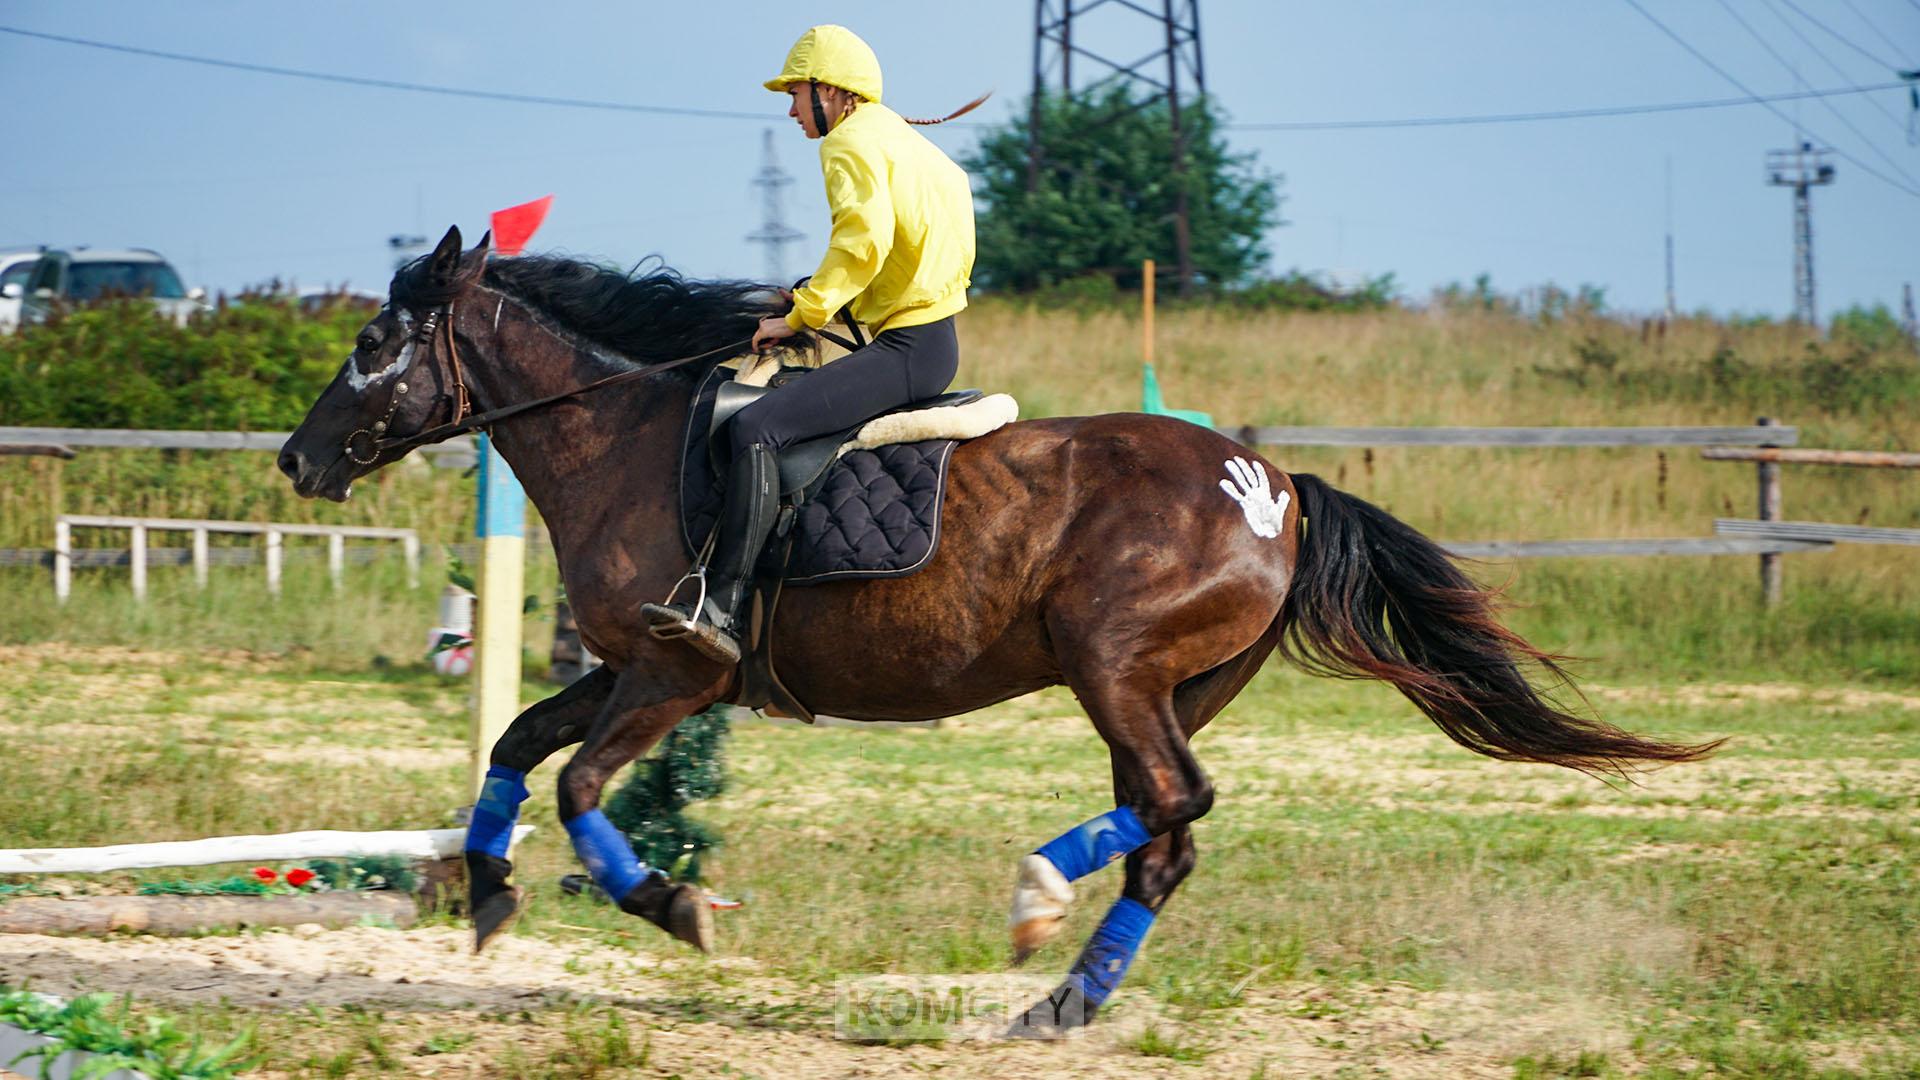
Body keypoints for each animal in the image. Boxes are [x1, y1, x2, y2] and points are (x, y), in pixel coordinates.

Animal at [278, 228, 1720, 1022]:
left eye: (372, 341)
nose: (297, 459)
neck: (628, 439)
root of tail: (1272, 484)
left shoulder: (678, 671)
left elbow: (579, 786)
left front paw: (675, 905)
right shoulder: (633, 668)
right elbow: (517, 743)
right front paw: (487, 894)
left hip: (1113, 665)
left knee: (1171, 808)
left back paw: (1044, 927)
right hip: (1166, 685)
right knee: (1164, 825)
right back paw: (1053, 977)